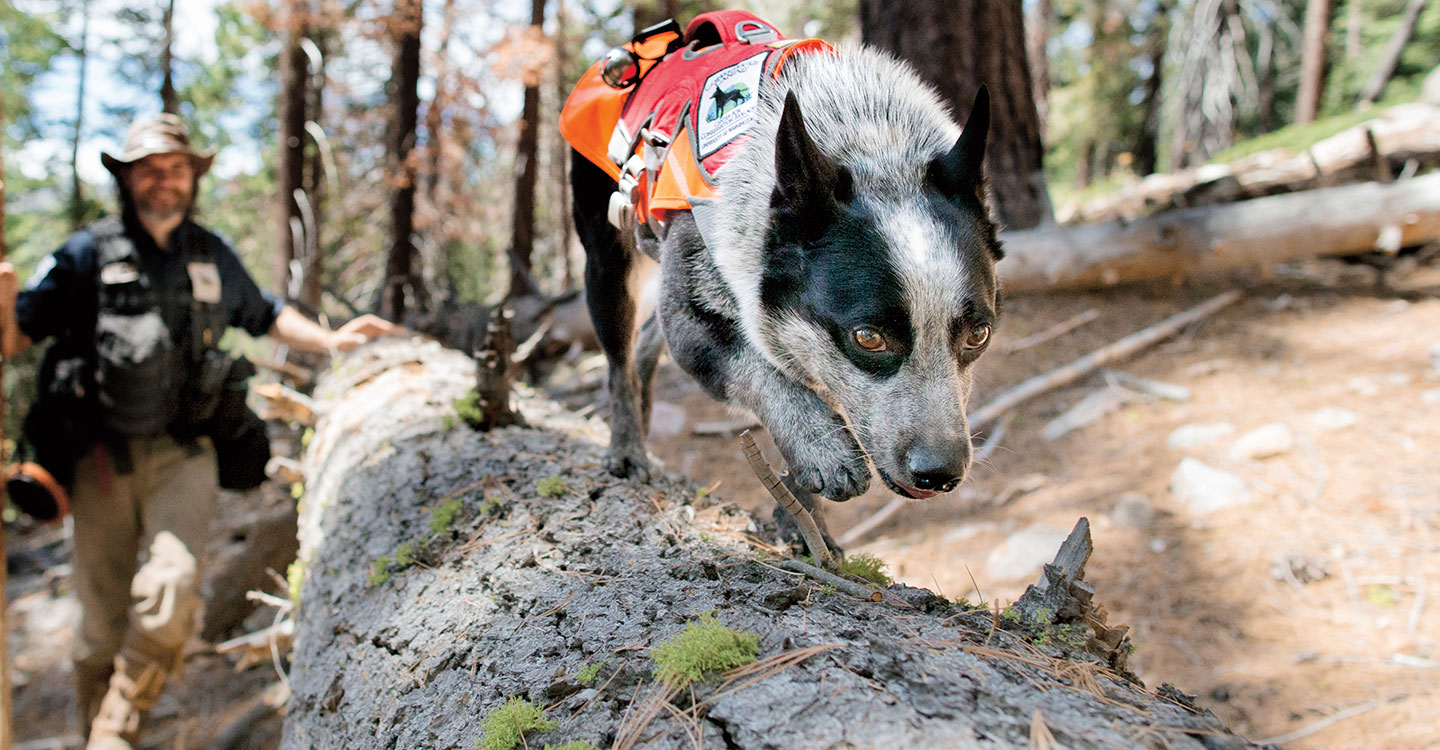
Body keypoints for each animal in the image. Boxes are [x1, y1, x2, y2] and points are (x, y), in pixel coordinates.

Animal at [573, 43, 1002, 506]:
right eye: (868, 337)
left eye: (979, 335)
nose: (940, 471)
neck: (874, 144)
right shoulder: (690, 319)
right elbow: (759, 370)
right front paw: (824, 449)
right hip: (607, 269)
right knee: (619, 363)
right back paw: (627, 448)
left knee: (647, 340)